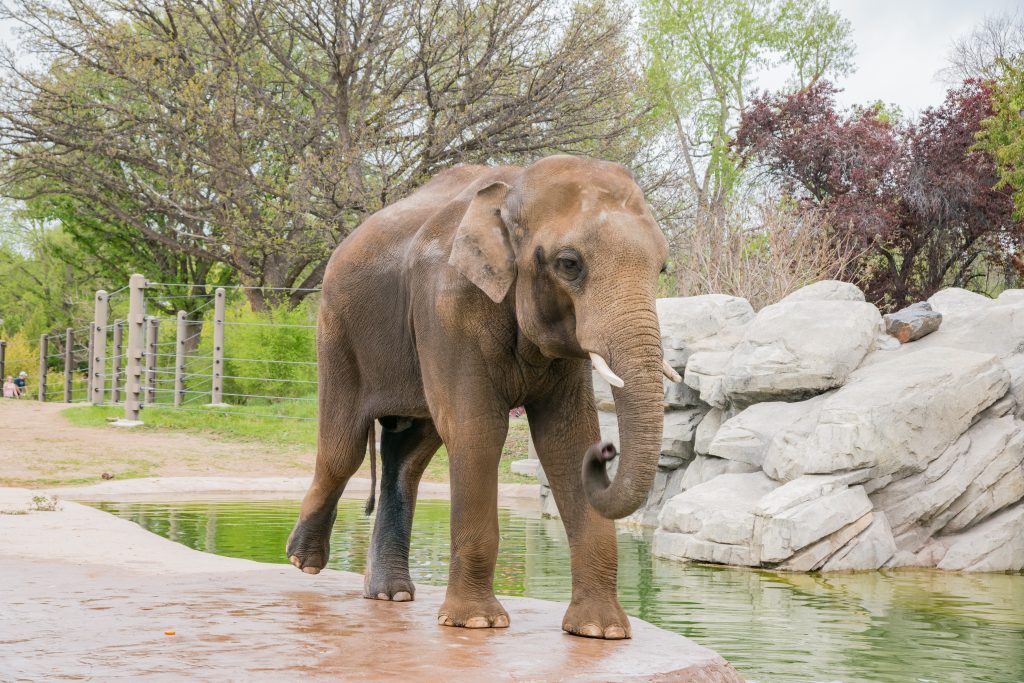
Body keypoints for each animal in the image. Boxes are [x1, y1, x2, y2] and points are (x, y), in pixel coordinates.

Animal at [284, 154, 679, 643]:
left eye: (662, 268)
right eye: (569, 264)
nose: (607, 451)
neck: (512, 192)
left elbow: (565, 440)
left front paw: (599, 632)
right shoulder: (448, 306)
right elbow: (479, 430)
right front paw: (476, 623)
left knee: (409, 456)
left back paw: (390, 595)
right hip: (337, 328)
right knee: (344, 450)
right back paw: (304, 561)